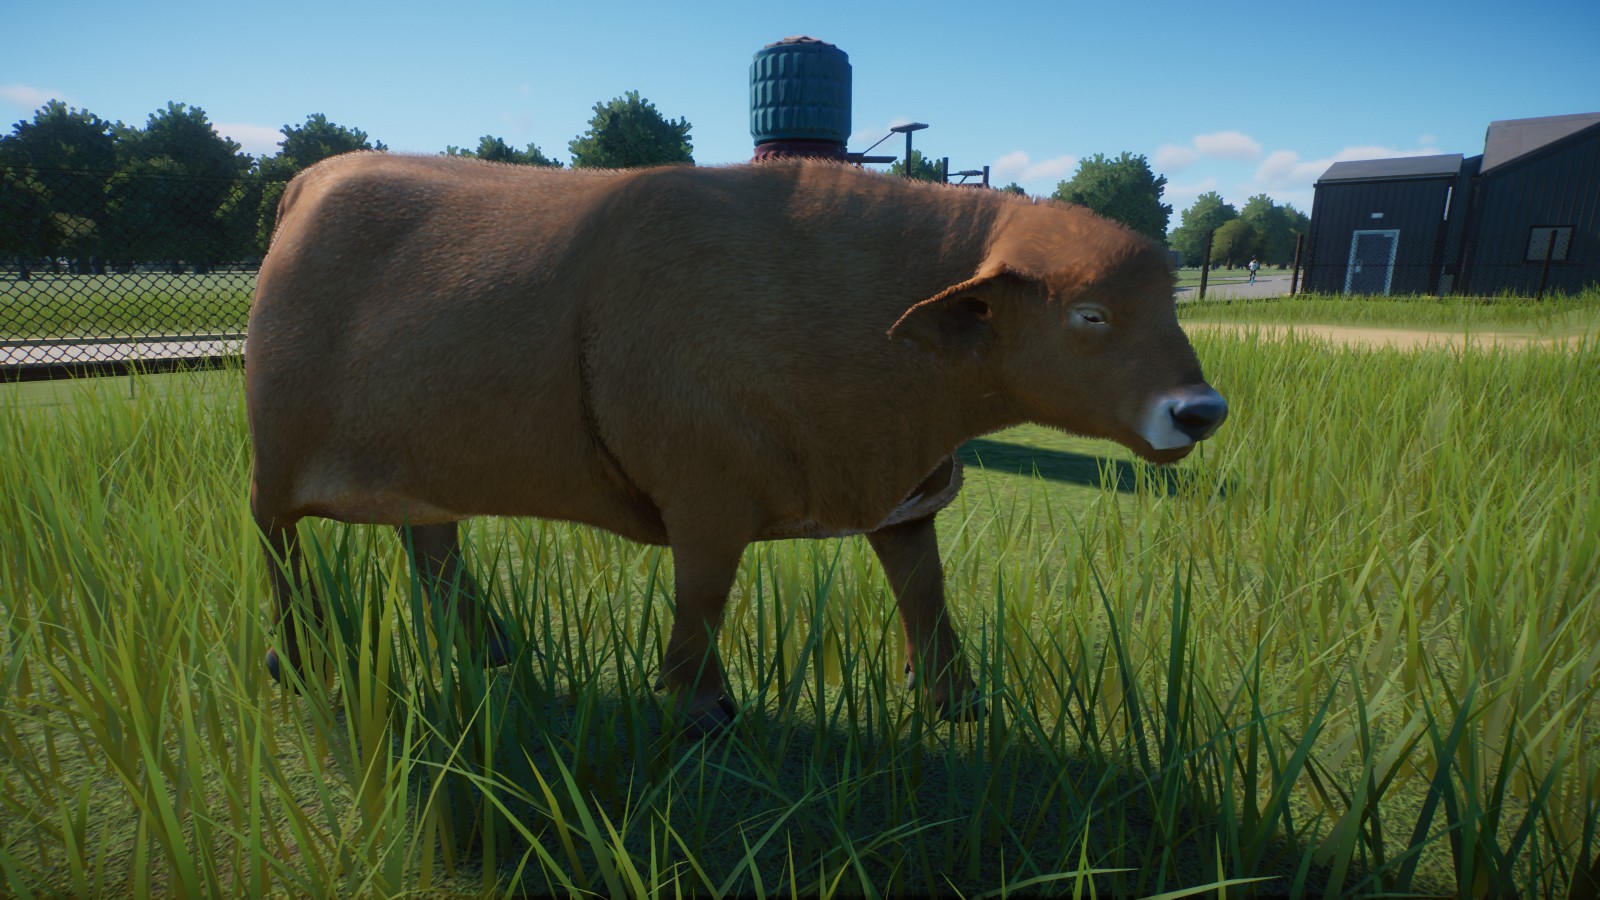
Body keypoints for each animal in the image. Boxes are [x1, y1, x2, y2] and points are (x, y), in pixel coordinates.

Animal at [246, 153, 1227, 733]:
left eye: (1171, 302)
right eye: (1089, 315)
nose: (1202, 410)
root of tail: (310, 182)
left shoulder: (903, 497)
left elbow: (926, 591)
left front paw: (954, 702)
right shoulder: (707, 500)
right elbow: (702, 601)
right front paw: (699, 710)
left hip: (428, 462)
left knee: (432, 539)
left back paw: (488, 647)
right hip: (274, 468)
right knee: (279, 545)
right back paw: (295, 657)